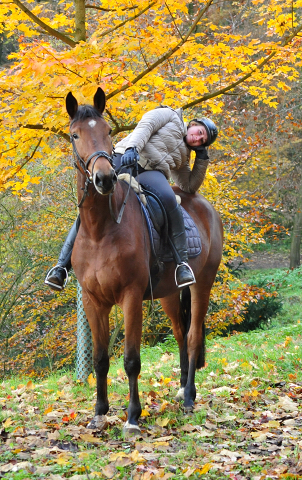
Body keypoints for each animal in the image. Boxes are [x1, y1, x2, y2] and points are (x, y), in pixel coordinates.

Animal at [67, 87, 223, 436]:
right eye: (75, 134)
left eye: (107, 131)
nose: (104, 178)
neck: (101, 230)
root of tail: (204, 205)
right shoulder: (93, 300)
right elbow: (100, 358)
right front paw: (100, 413)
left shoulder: (131, 297)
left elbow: (131, 359)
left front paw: (132, 417)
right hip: (169, 294)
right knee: (180, 334)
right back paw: (183, 389)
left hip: (202, 285)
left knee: (192, 338)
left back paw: (189, 397)